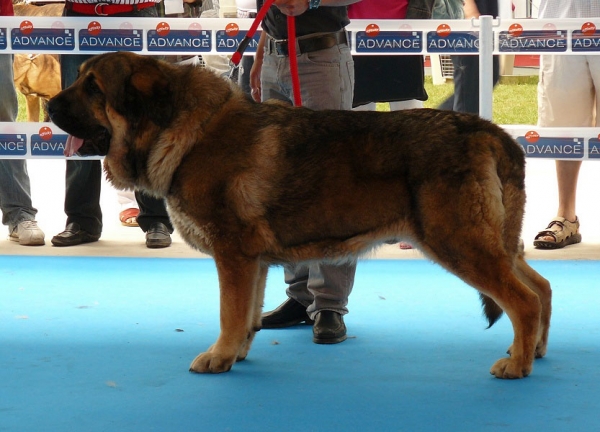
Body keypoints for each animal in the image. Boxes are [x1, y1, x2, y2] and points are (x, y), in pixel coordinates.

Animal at [47, 52, 552, 380]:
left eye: (93, 88)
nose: (49, 105)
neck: (184, 130)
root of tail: (491, 132)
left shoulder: (233, 256)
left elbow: (229, 312)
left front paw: (218, 356)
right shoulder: (250, 262)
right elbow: (246, 314)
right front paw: (237, 352)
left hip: (458, 241)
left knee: (523, 299)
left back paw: (517, 364)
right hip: (492, 241)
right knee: (541, 287)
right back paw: (534, 349)